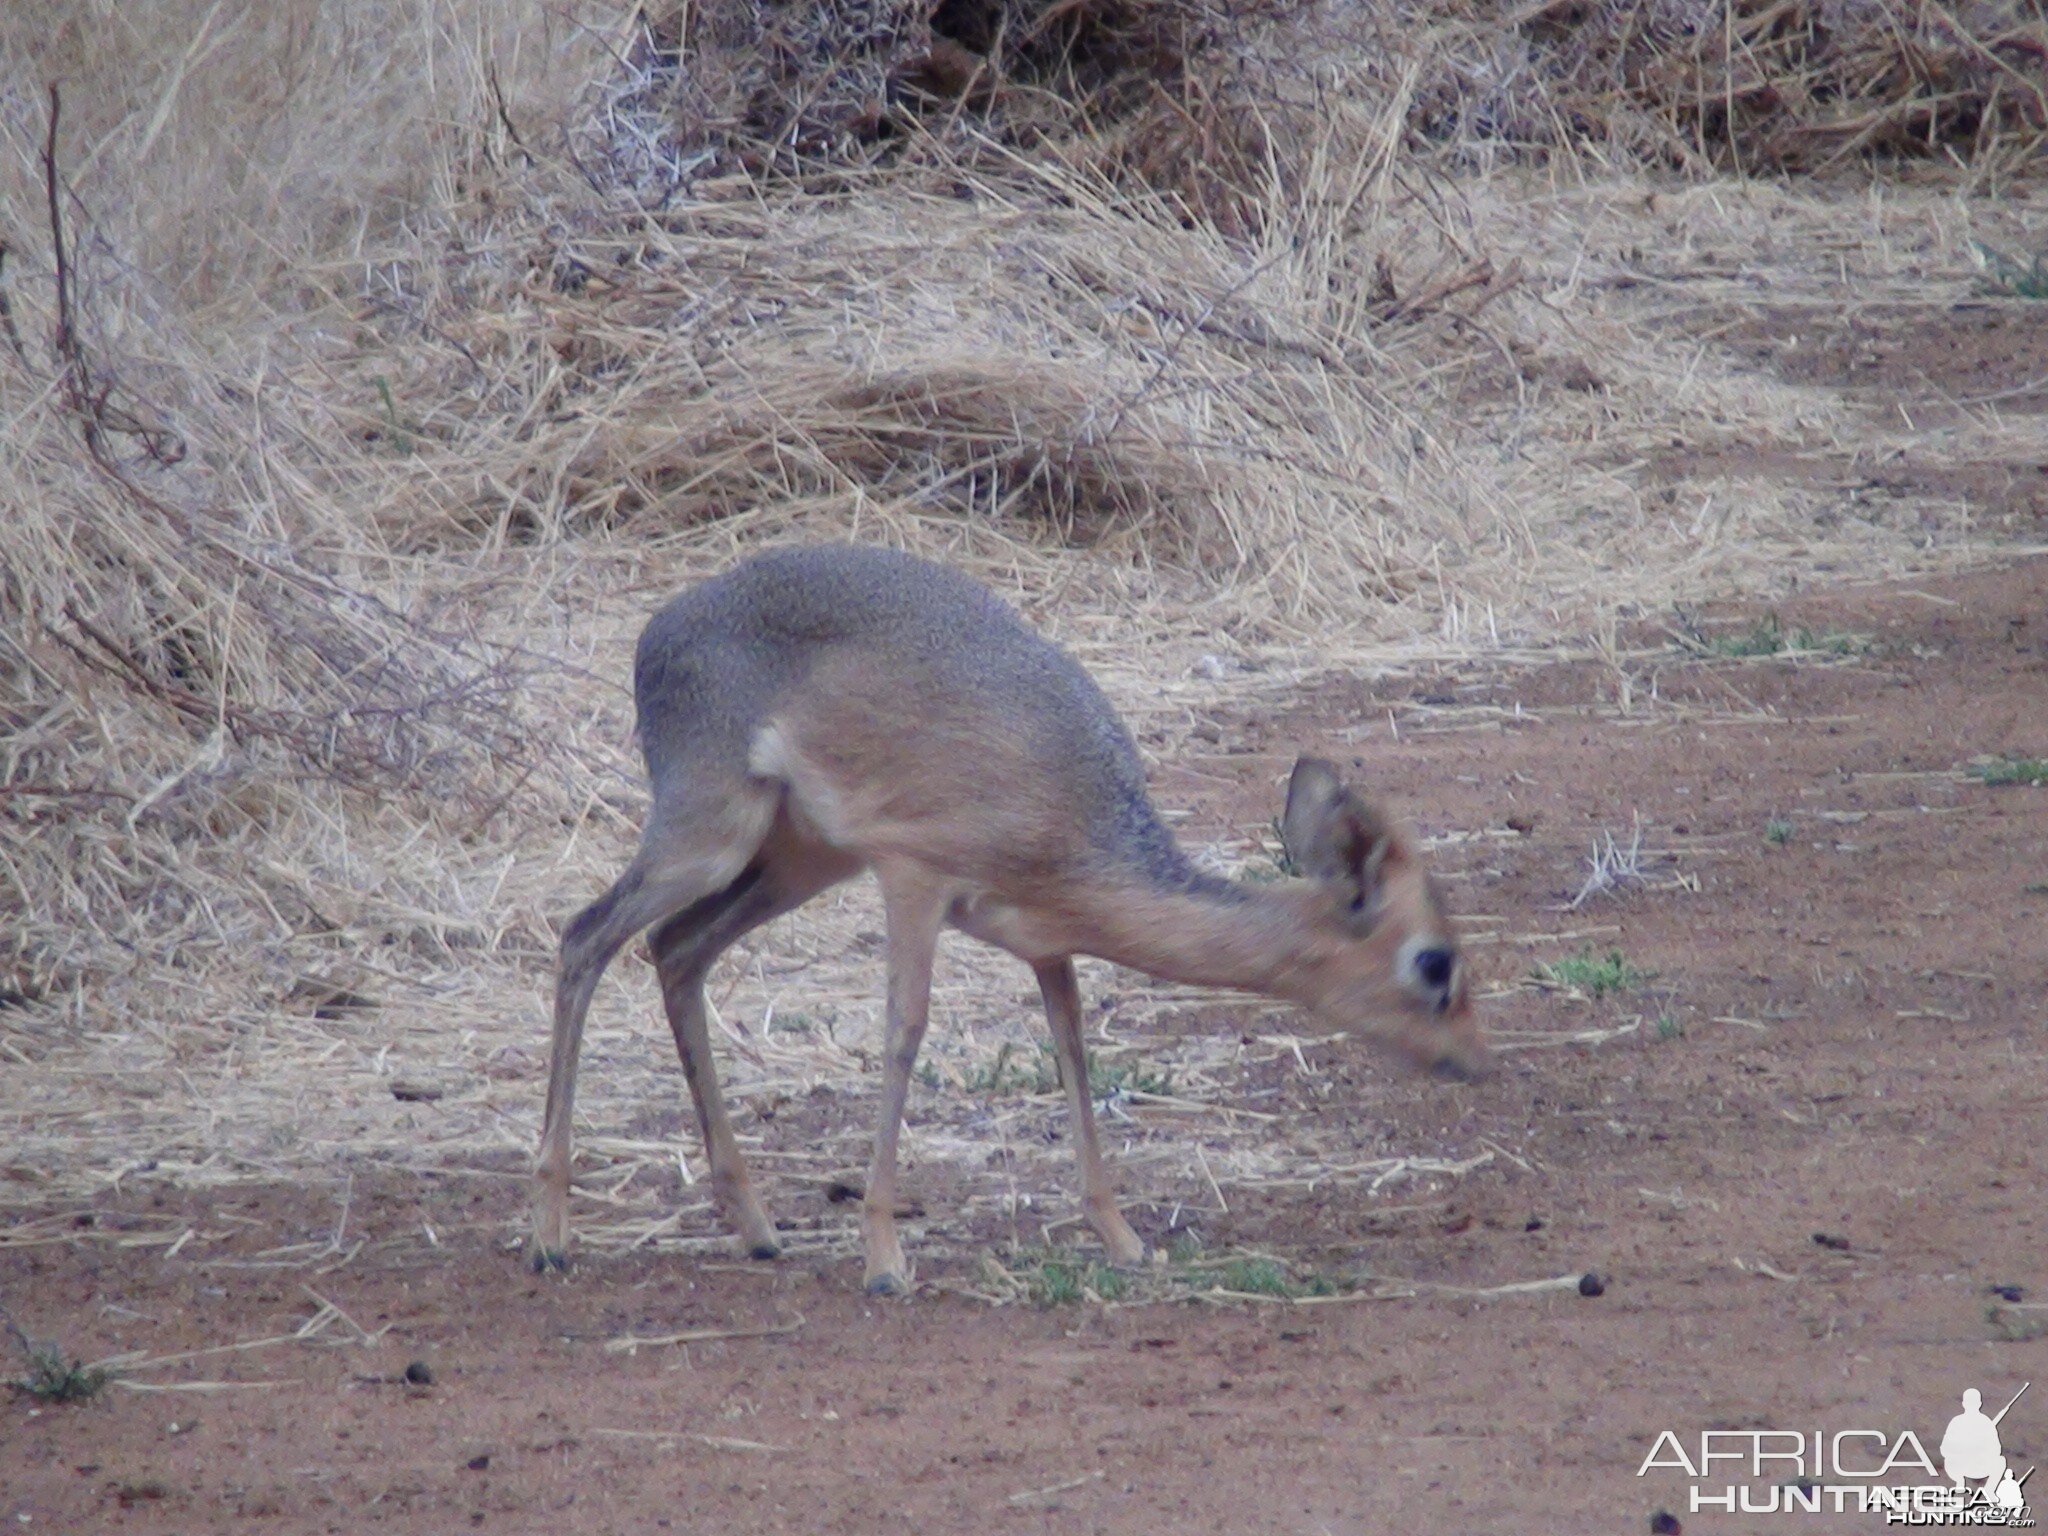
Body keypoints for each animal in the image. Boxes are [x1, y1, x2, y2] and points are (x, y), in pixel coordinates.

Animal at [532, 548, 1490, 1294]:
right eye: (1434, 962)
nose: (1475, 1060)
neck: (1071, 813)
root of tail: (659, 628)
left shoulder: (1044, 941)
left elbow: (1072, 1049)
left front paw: (1123, 1238)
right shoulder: (914, 877)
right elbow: (905, 1033)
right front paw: (884, 1257)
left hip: (794, 860)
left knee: (674, 950)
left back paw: (757, 1227)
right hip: (711, 832)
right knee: (586, 936)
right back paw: (552, 1235)